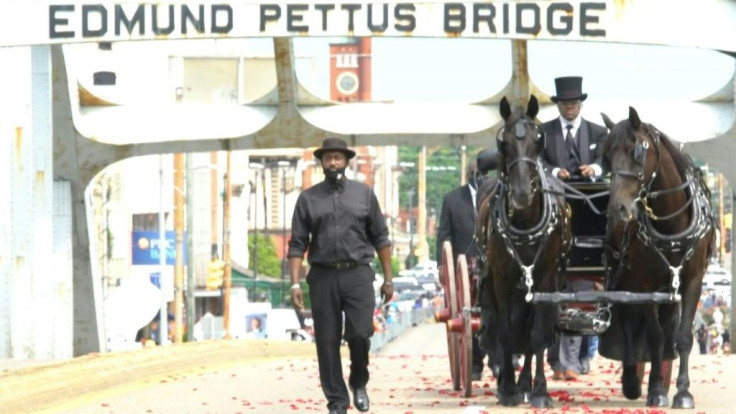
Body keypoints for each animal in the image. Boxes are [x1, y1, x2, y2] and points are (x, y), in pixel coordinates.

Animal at [478, 96, 576, 408]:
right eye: (504, 143)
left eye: (537, 141)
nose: (522, 195)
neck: (524, 222)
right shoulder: (501, 279)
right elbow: (506, 333)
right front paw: (508, 388)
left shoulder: (544, 278)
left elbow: (539, 334)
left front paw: (540, 391)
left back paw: (526, 384)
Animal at [600, 106, 716, 408]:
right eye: (606, 155)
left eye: (636, 151)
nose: (617, 209)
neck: (671, 224)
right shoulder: (646, 284)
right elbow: (654, 335)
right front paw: (656, 390)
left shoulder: (693, 280)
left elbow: (683, 336)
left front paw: (683, 392)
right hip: (625, 277)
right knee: (629, 323)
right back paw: (632, 379)